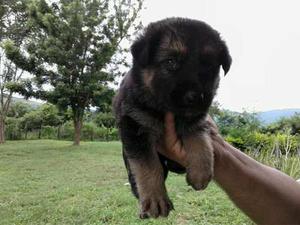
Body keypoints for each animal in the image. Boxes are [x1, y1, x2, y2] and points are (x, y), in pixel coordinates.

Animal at [113, 17, 232, 218]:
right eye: (171, 62)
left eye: (209, 65)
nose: (195, 97)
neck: (164, 110)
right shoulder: (134, 124)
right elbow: (148, 165)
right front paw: (155, 199)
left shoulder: (197, 117)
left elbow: (199, 138)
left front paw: (200, 171)